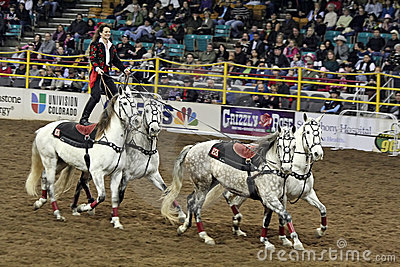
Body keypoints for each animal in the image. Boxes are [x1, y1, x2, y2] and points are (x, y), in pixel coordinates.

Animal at [25, 91, 139, 227]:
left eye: (135, 102)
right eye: (125, 103)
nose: (137, 120)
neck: (110, 140)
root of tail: (42, 129)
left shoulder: (116, 174)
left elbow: (115, 198)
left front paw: (116, 222)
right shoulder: (96, 173)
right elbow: (101, 196)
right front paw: (82, 207)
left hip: (60, 162)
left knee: (44, 177)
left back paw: (40, 202)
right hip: (49, 160)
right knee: (50, 185)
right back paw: (58, 214)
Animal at [161, 125, 304, 251]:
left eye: (294, 146)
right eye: (279, 146)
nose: (287, 168)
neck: (269, 167)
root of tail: (193, 147)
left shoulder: (278, 199)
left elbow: (270, 220)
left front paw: (267, 241)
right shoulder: (269, 198)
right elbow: (286, 216)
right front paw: (296, 242)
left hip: (205, 184)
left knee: (191, 200)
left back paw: (184, 227)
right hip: (203, 186)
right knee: (197, 208)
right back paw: (205, 236)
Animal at [205, 114, 326, 248]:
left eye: (320, 132)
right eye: (308, 132)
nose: (318, 153)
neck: (297, 167)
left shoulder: (307, 193)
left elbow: (322, 209)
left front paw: (319, 231)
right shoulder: (281, 196)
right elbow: (282, 217)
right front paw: (287, 239)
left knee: (234, 202)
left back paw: (237, 227)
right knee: (229, 197)